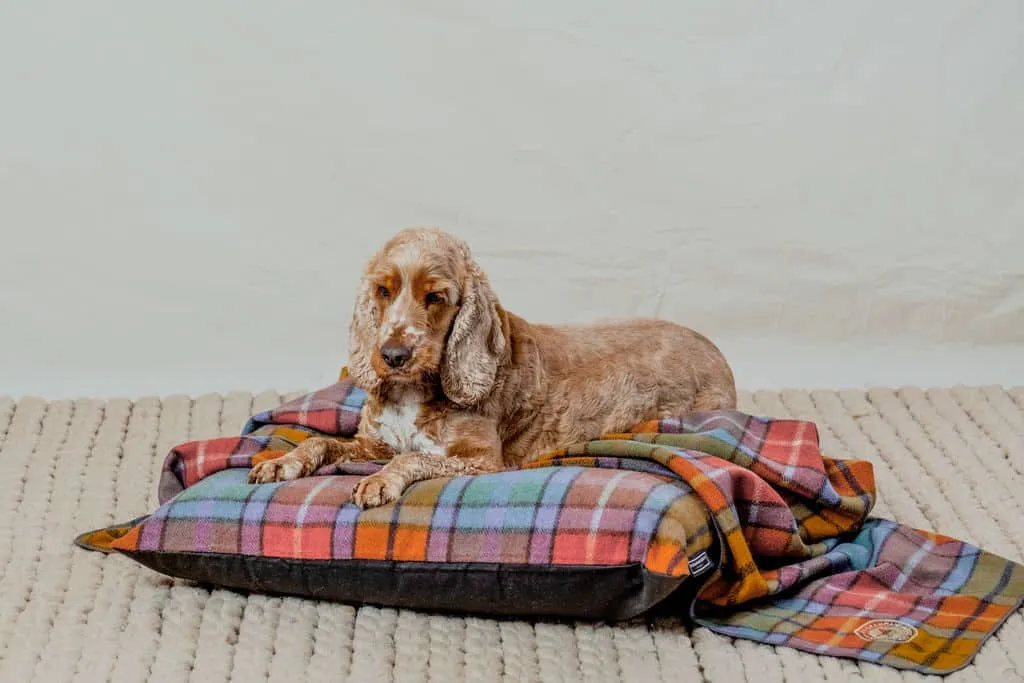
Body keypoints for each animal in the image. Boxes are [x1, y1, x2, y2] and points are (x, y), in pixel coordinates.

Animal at [251, 227, 741, 505]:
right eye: (383, 290)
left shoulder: (483, 461)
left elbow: (415, 458)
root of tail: (718, 353)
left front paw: (379, 483)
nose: (393, 356)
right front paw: (281, 462)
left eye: (436, 296)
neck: (414, 391)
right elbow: (320, 440)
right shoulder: (374, 444)